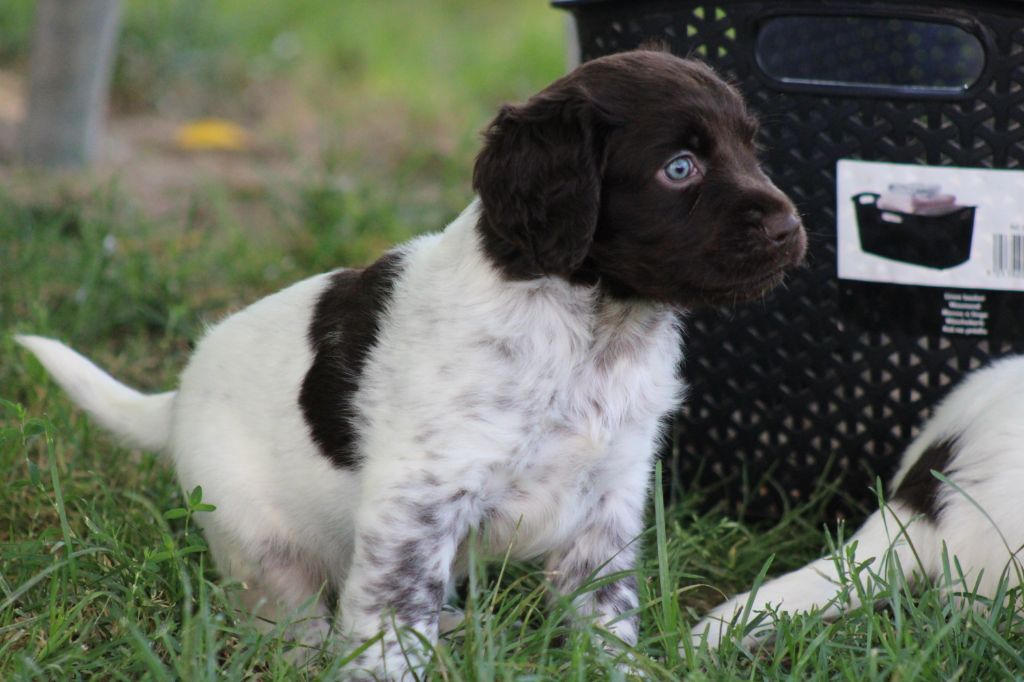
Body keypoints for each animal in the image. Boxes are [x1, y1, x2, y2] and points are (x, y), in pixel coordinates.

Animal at [12, 50, 802, 675]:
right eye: (680, 168)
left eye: (751, 150)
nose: (793, 226)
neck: (590, 331)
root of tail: (179, 391)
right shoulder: (418, 501)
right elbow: (388, 622)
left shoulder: (606, 506)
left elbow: (605, 620)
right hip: (259, 543)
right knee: (294, 621)